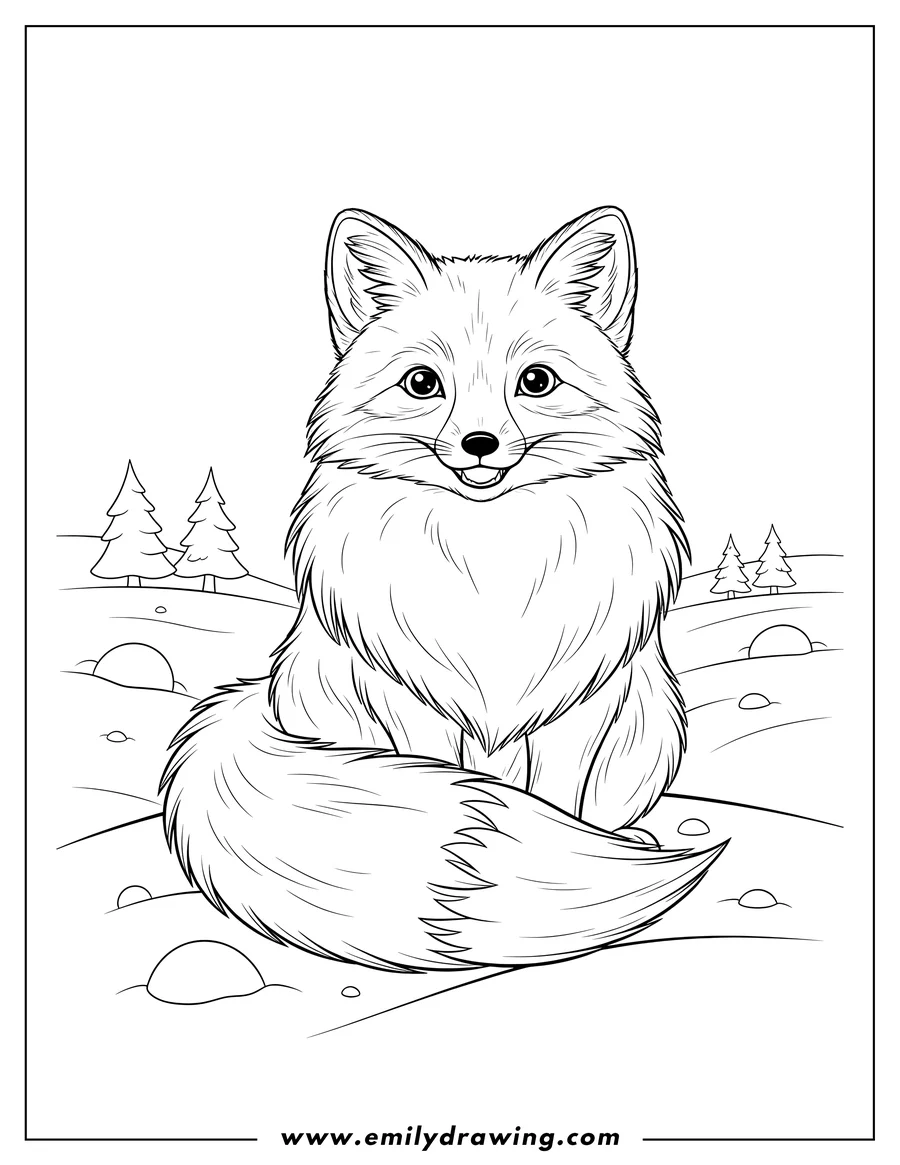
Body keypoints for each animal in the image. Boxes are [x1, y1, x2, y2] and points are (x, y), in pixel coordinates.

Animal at [160, 206, 726, 972]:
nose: (480, 443)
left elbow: (562, 806)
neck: (490, 565)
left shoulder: (572, 718)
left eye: (536, 381)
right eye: (423, 383)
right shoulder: (411, 710)